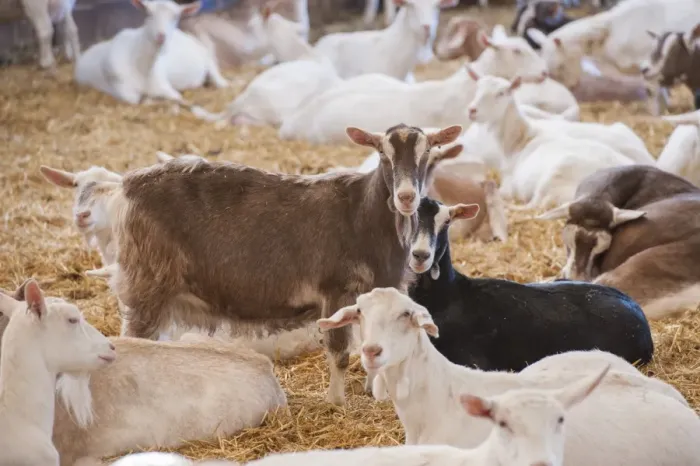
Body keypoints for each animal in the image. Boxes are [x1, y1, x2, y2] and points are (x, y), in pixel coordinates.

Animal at [74, 0, 228, 105]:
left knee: (216, 76)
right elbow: (134, 99)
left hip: (205, 54)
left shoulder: (163, 83)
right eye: (148, 13)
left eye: (176, 16)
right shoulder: (120, 84)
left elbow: (176, 97)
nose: (161, 36)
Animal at [91, 124, 461, 406]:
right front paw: (336, 402)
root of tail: (126, 186)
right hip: (147, 284)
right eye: (383, 153)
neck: (364, 215)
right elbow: (339, 353)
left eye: (428, 153)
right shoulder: (335, 290)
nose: (406, 197)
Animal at [466, 69, 635, 209]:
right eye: (477, 89)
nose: (472, 110)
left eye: (501, 93)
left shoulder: (509, 184)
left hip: (556, 173)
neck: (520, 140)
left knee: (537, 204)